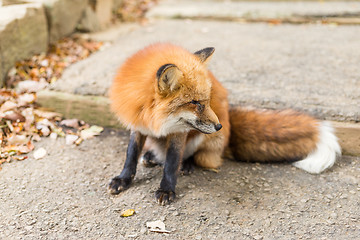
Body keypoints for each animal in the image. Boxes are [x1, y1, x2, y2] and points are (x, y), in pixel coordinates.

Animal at [108, 42, 342, 204]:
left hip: (203, 140)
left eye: (207, 100)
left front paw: (167, 189)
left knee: (197, 158)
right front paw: (123, 179)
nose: (218, 126)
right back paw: (151, 156)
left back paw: (186, 165)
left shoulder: (180, 131)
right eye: (195, 103)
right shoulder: (138, 125)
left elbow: (172, 162)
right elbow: (131, 155)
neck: (150, 115)